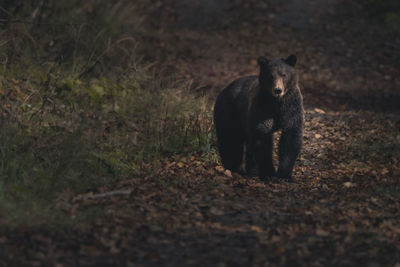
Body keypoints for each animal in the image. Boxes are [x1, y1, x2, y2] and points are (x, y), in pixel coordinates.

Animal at [212, 55, 304, 183]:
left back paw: (252, 171)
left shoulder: (291, 107)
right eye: (271, 76)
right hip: (230, 113)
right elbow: (263, 138)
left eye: (284, 74)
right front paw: (269, 172)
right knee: (230, 139)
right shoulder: (263, 108)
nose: (278, 90)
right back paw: (235, 168)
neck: (277, 103)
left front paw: (284, 174)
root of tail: (224, 89)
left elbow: (291, 136)